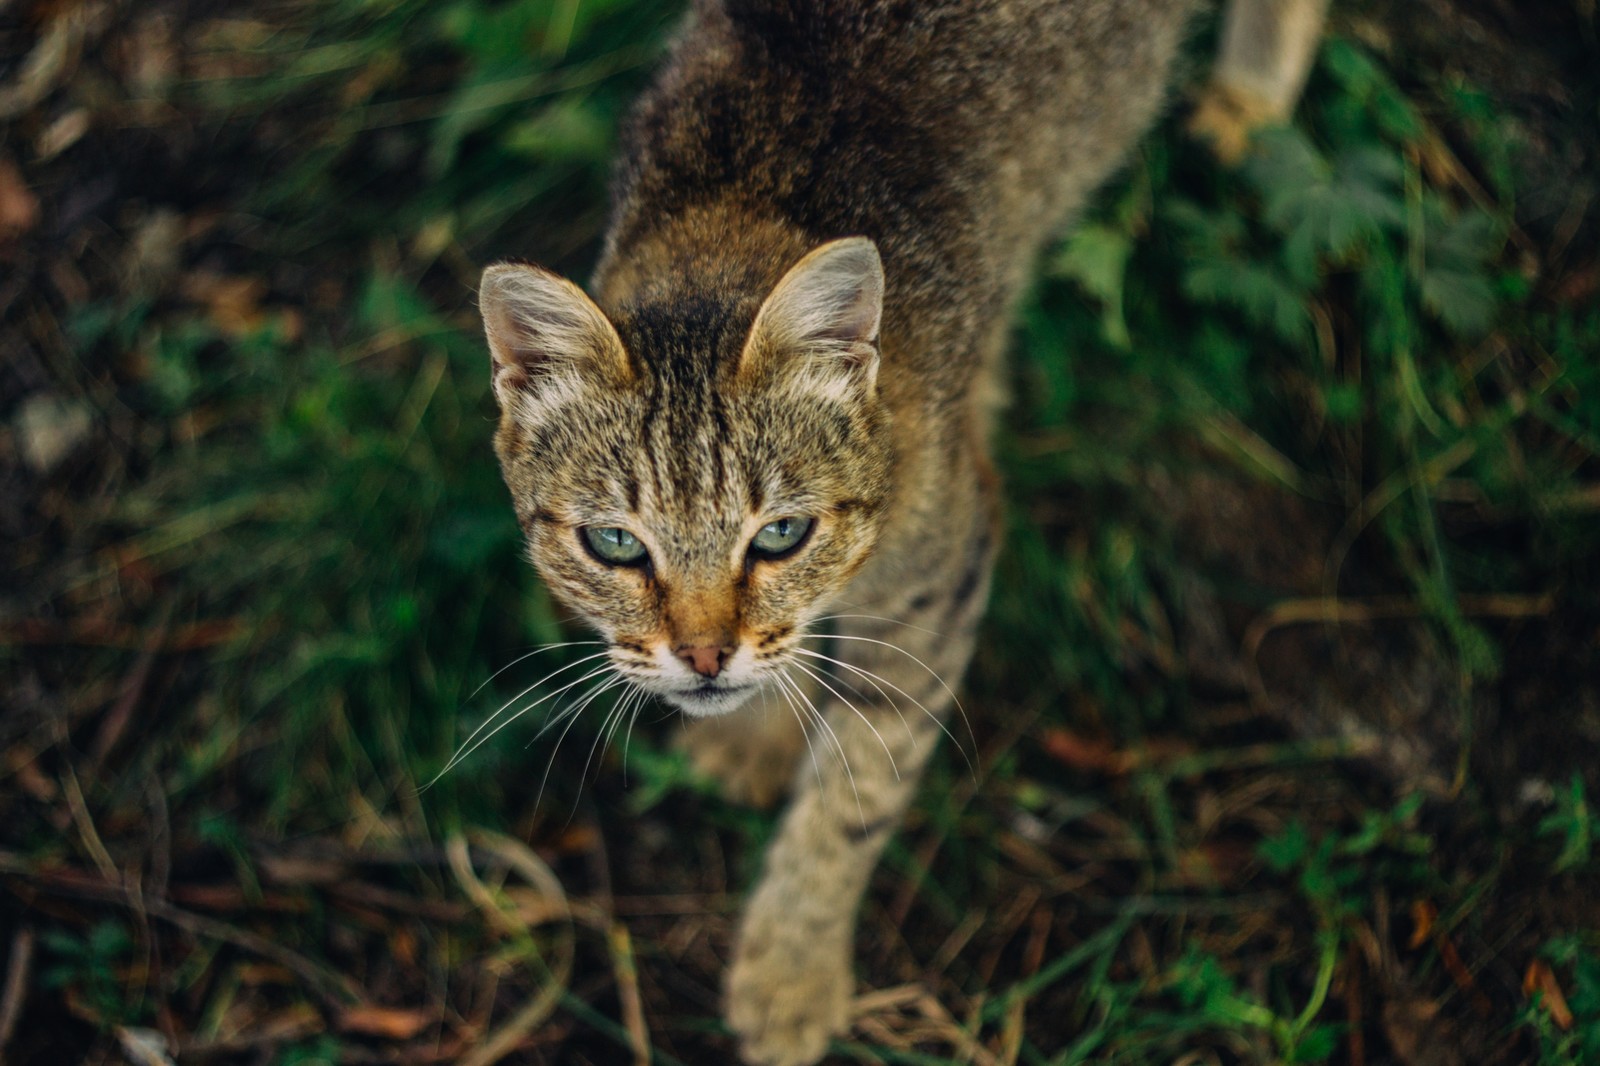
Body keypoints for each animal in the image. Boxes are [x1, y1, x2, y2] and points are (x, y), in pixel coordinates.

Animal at [480, 4, 1331, 1056]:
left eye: (780, 536)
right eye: (615, 545)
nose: (704, 659)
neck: (734, 206)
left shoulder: (939, 587)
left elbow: (851, 799)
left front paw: (790, 973)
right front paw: (756, 735)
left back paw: (1249, 100)